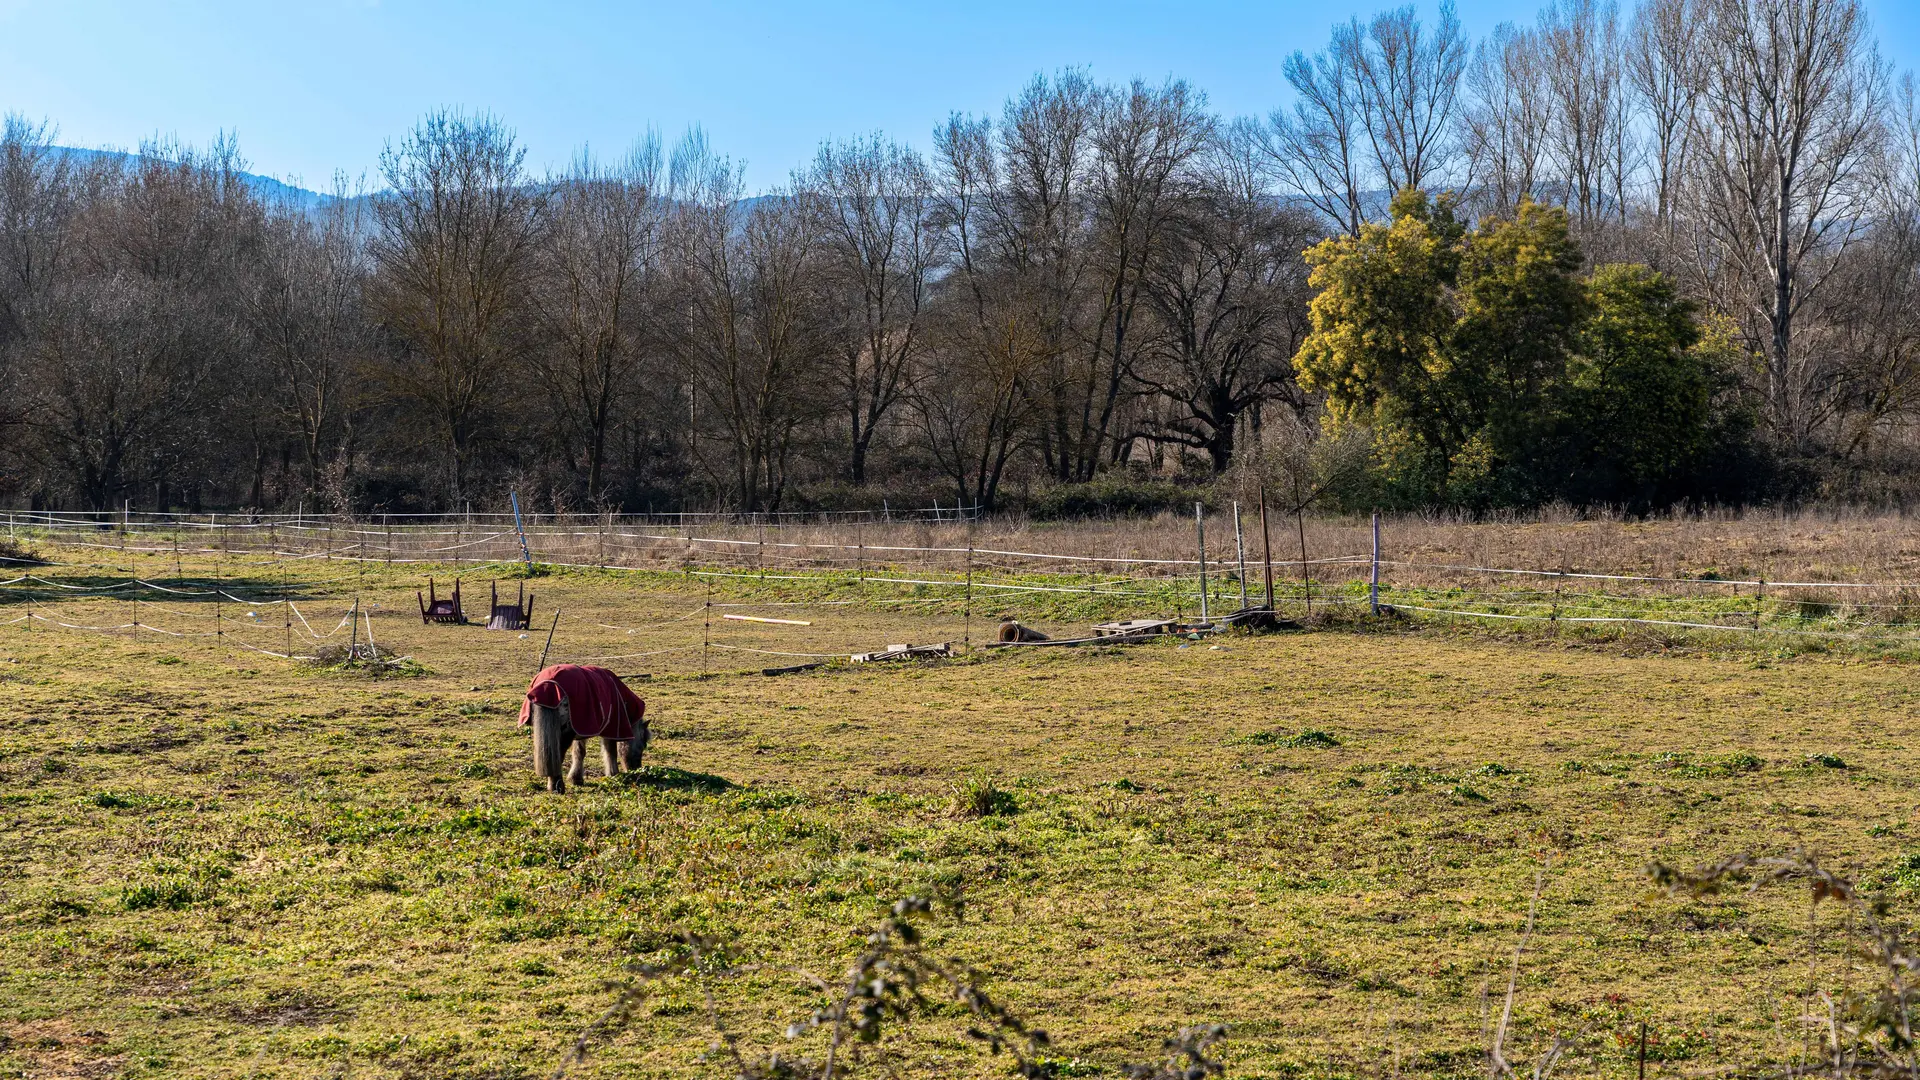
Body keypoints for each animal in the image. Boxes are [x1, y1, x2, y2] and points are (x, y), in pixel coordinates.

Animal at [518, 661, 652, 787]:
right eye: (643, 745)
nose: (636, 771)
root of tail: (548, 685)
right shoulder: (611, 729)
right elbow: (610, 751)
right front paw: (613, 774)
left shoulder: (581, 727)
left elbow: (579, 752)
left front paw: (576, 778)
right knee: (558, 755)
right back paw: (557, 785)